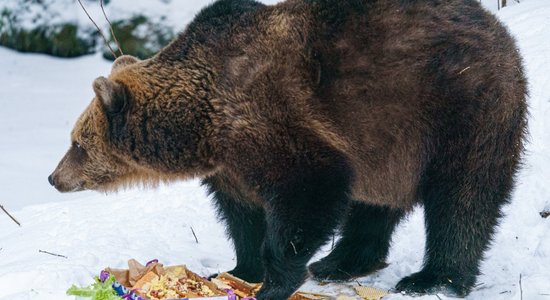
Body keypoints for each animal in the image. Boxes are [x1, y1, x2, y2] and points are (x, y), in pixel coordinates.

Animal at [49, 0, 528, 298]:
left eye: (77, 142)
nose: (54, 177)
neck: (203, 124)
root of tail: (499, 27)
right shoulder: (231, 164)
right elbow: (242, 215)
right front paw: (237, 269)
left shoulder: (275, 122)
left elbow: (309, 191)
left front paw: (274, 281)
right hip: (390, 142)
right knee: (375, 203)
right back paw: (341, 261)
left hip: (455, 108)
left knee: (463, 197)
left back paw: (433, 278)